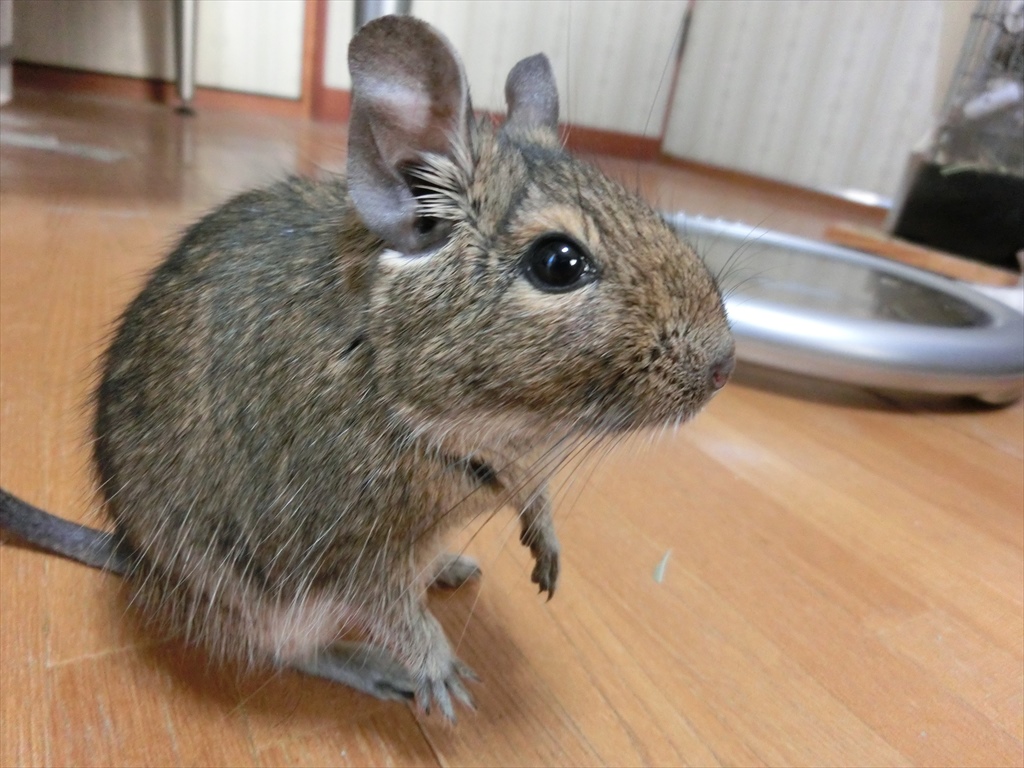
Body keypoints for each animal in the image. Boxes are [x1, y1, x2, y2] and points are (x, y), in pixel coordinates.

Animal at [0, 15, 734, 721]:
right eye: (558, 263)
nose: (725, 364)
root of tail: (132, 557)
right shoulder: (343, 548)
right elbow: (390, 610)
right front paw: (442, 675)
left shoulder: (522, 462)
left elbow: (535, 495)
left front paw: (548, 555)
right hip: (255, 604)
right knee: (292, 651)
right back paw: (384, 668)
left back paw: (450, 566)